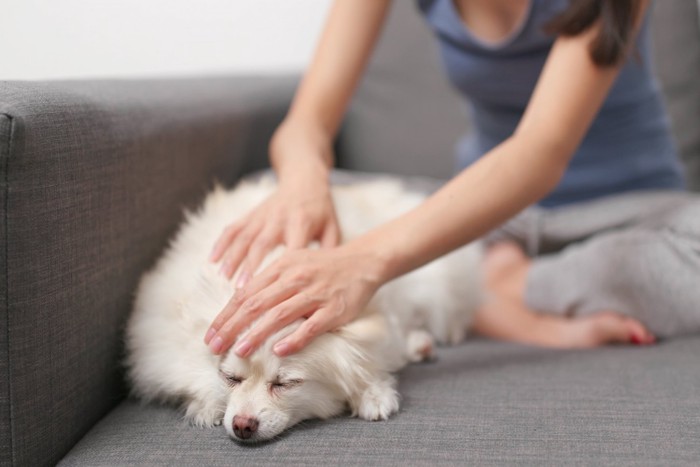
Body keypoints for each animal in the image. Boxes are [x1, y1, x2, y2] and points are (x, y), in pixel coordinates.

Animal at [124, 175, 482, 442]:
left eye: (286, 383)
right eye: (229, 378)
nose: (242, 425)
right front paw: (204, 405)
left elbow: (372, 357)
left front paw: (373, 393)